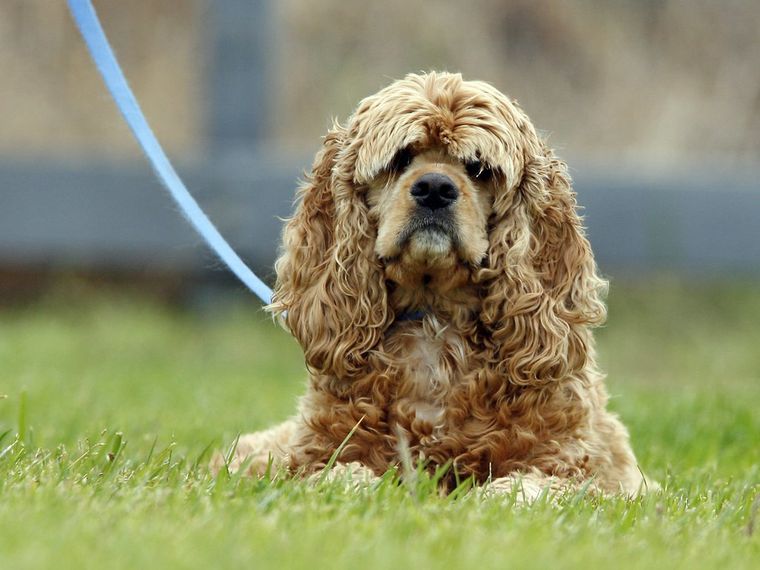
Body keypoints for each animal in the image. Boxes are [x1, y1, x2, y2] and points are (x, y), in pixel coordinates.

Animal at [218, 71, 648, 494]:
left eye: (478, 168)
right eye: (401, 158)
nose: (435, 188)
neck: (435, 320)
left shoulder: (587, 470)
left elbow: (525, 488)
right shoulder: (308, 455)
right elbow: (338, 475)